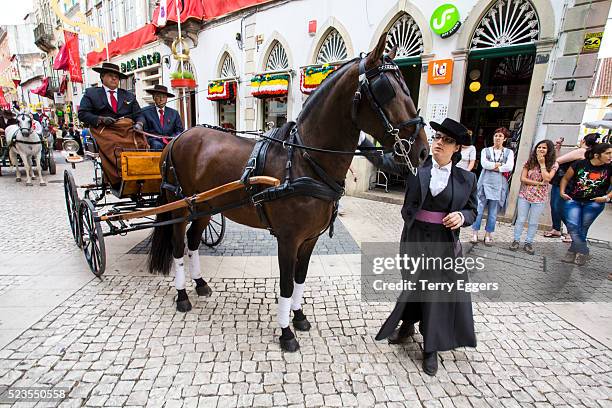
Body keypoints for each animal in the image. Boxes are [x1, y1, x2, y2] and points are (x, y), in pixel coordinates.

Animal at [146, 32, 428, 350]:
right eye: (387, 90)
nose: (422, 151)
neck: (305, 161)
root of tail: (179, 137)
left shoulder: (309, 239)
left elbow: (301, 278)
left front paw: (300, 317)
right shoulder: (288, 239)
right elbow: (286, 283)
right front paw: (285, 332)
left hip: (206, 207)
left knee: (194, 242)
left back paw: (200, 284)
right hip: (180, 206)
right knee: (178, 246)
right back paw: (182, 295)